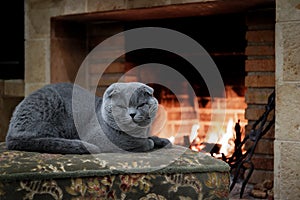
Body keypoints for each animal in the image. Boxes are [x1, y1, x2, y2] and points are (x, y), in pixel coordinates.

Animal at [4, 82, 170, 154]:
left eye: (141, 105)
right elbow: (132, 142)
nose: (132, 114)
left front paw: (162, 140)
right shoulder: (99, 137)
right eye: (122, 106)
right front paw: (148, 143)